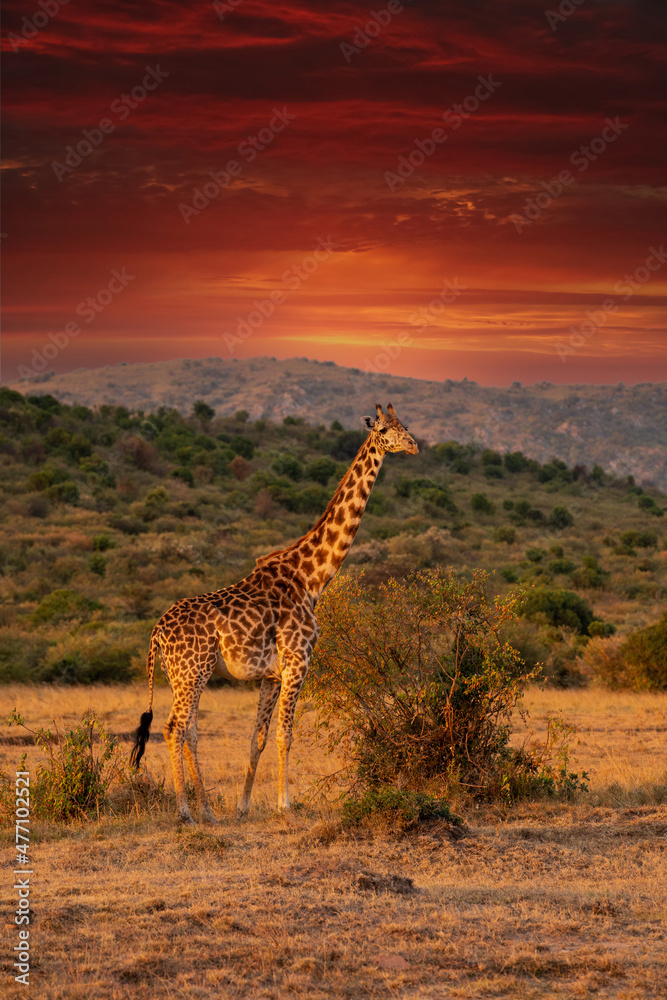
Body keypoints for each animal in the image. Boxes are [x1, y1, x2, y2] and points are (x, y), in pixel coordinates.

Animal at [130, 403, 418, 823]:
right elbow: (286, 734)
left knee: (190, 732)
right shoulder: (298, 660)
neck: (311, 578)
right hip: (192, 671)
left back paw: (208, 811)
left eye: (404, 424)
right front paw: (286, 804)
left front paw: (243, 807)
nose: (413, 445)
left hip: (183, 676)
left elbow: (258, 738)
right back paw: (184, 811)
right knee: (172, 728)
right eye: (384, 429)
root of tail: (156, 634)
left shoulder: (271, 674)